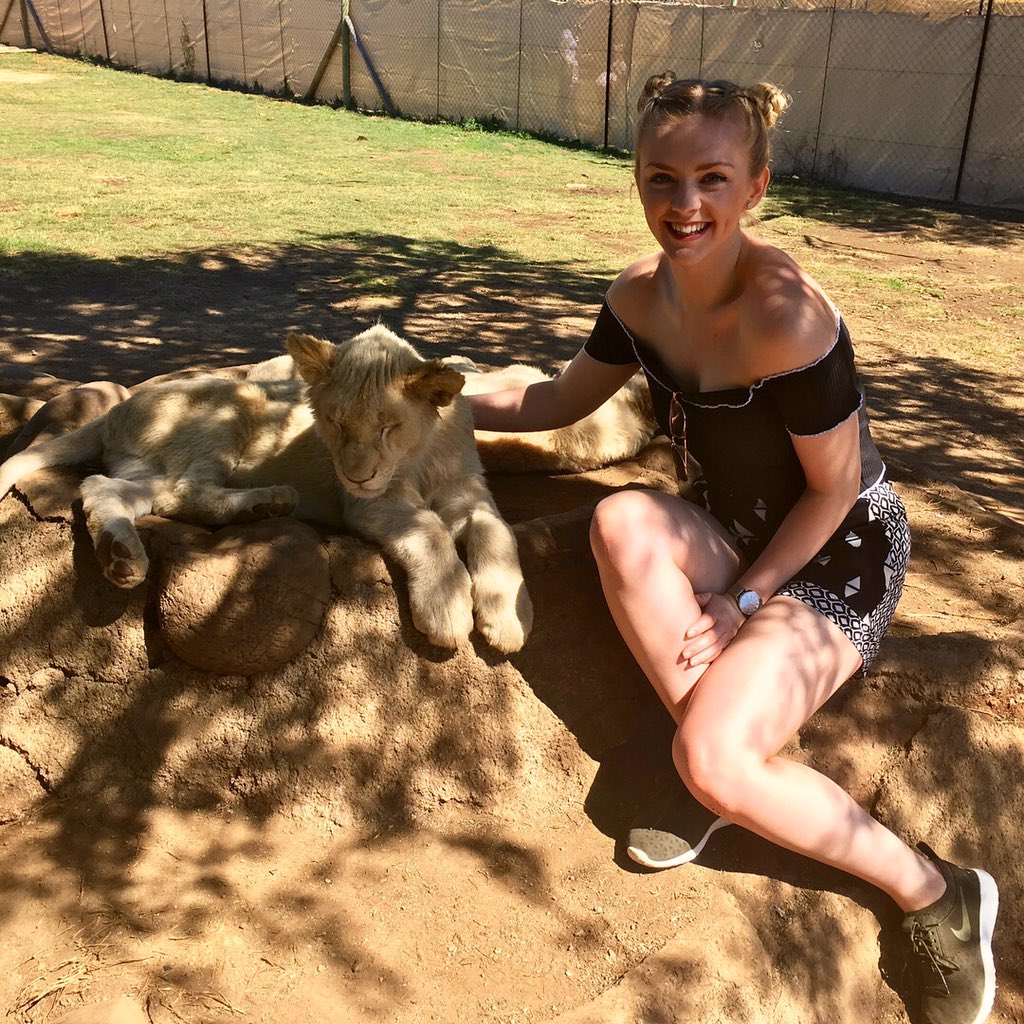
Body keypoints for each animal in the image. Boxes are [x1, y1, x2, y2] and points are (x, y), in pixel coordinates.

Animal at [0, 326, 534, 654]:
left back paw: (121, 557)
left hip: (143, 470)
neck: (420, 453)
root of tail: (116, 408)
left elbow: (498, 533)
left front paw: (509, 617)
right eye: (334, 423)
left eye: (388, 426)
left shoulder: (467, 490)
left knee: (101, 486)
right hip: (232, 405)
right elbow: (428, 528)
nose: (356, 474)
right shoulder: (370, 503)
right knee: (182, 491)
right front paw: (447, 608)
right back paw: (269, 502)